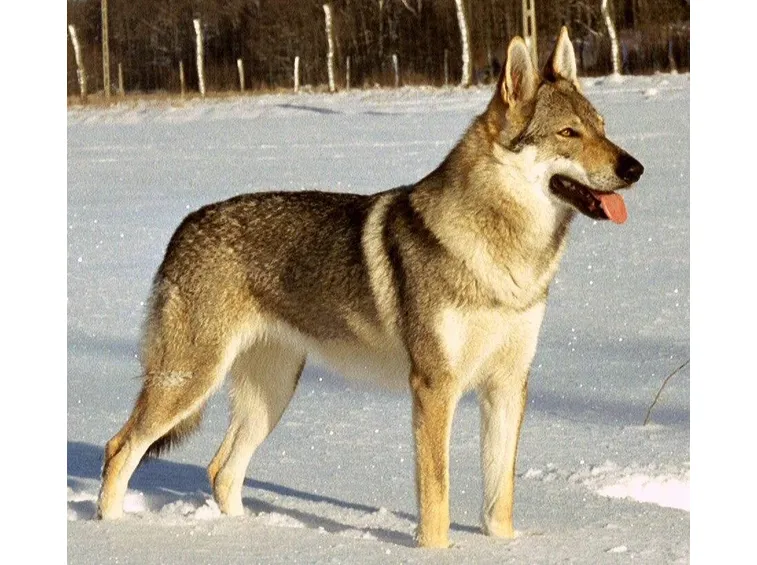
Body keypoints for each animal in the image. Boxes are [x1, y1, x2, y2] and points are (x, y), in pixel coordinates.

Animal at [97, 27, 643, 548]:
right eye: (568, 132)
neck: (507, 258)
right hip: (191, 382)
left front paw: (505, 547)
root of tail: (186, 225)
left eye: (603, 127)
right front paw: (437, 550)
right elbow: (437, 499)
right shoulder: (434, 388)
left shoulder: (507, 386)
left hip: (270, 395)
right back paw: (110, 529)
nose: (635, 168)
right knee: (120, 449)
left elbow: (499, 498)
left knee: (221, 470)